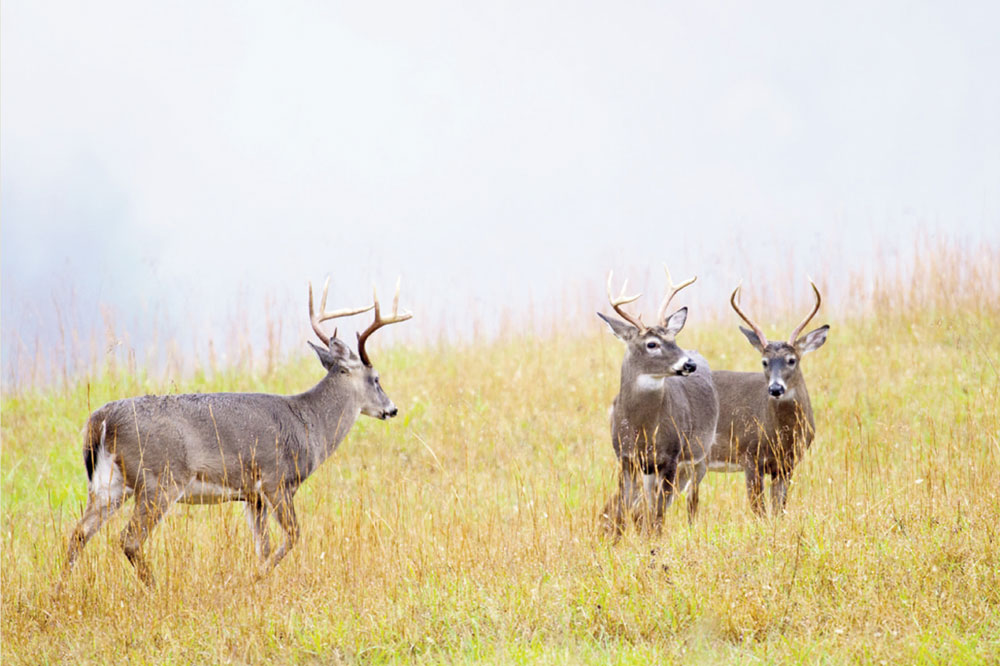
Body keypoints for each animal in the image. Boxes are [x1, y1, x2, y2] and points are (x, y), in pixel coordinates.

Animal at [60, 274, 412, 588]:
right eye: (376, 378)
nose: (391, 408)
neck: (309, 423)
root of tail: (101, 419)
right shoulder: (275, 480)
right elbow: (294, 535)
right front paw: (251, 578)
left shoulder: (251, 495)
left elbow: (263, 546)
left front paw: (259, 581)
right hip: (160, 479)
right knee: (129, 539)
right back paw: (155, 589)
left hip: (109, 485)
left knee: (78, 533)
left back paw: (60, 591)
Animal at [596, 268, 724, 536]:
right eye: (651, 344)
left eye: (674, 340)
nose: (689, 364)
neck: (643, 429)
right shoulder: (626, 458)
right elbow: (624, 510)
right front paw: (616, 541)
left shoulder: (671, 457)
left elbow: (658, 515)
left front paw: (654, 541)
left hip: (700, 454)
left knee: (691, 500)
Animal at [712, 278, 828, 516]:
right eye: (764, 362)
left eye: (791, 360)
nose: (775, 388)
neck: (781, 436)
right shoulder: (749, 456)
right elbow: (759, 511)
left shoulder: (786, 465)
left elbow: (778, 509)